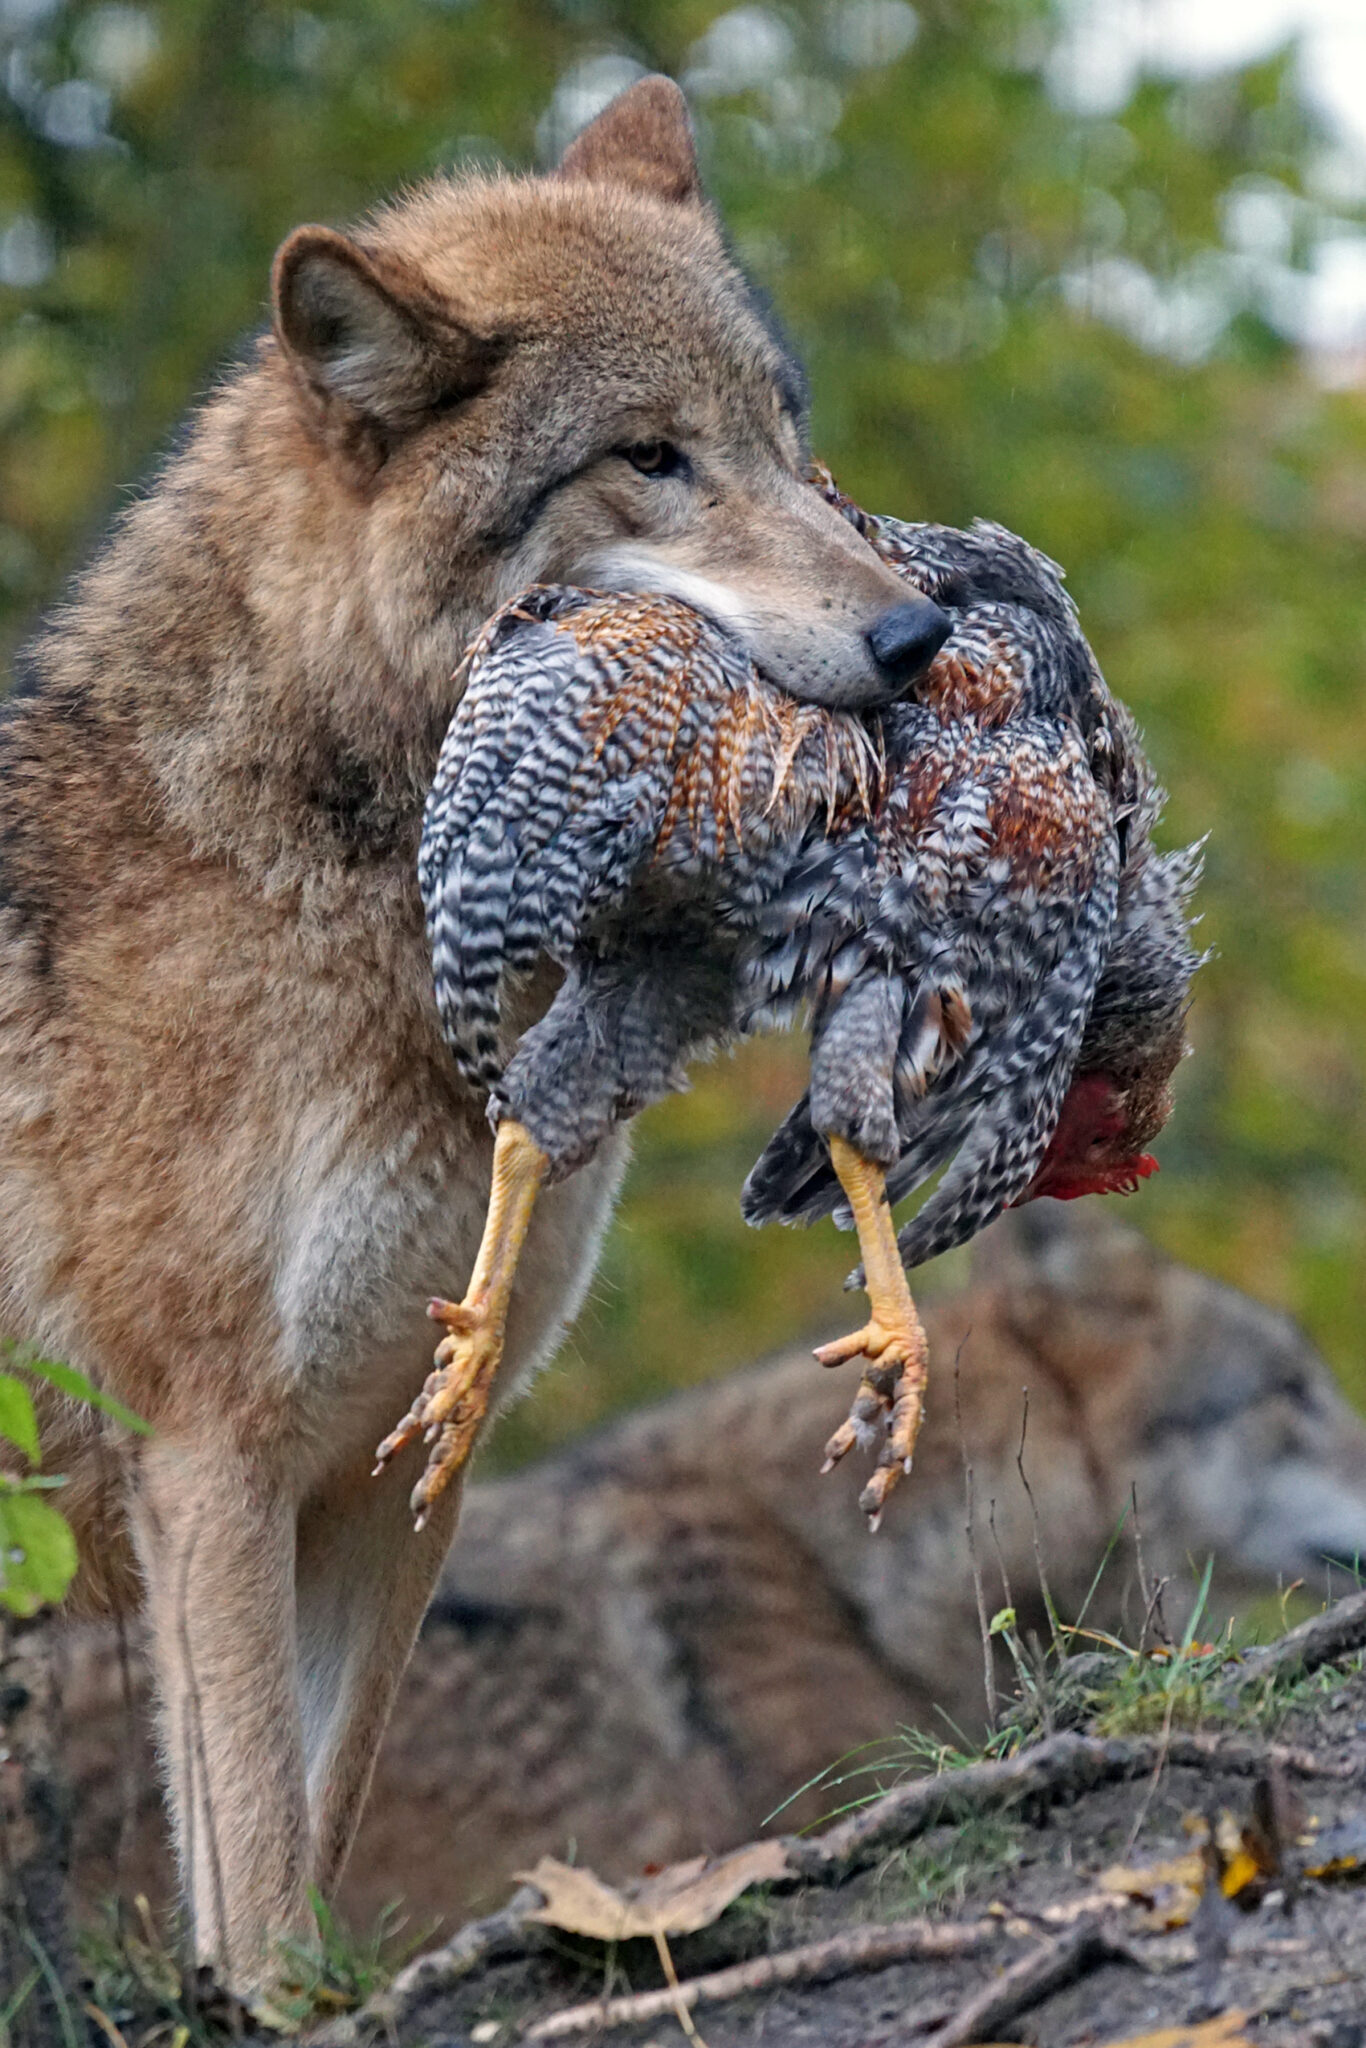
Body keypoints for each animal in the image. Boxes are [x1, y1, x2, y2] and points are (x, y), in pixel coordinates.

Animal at [0, 79, 942, 1982]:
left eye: (783, 432)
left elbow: (314, 1817)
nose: (922, 630)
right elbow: (257, 1862)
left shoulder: (405, 1453)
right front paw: (266, 2007)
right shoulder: (210, 1455)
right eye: (648, 457)